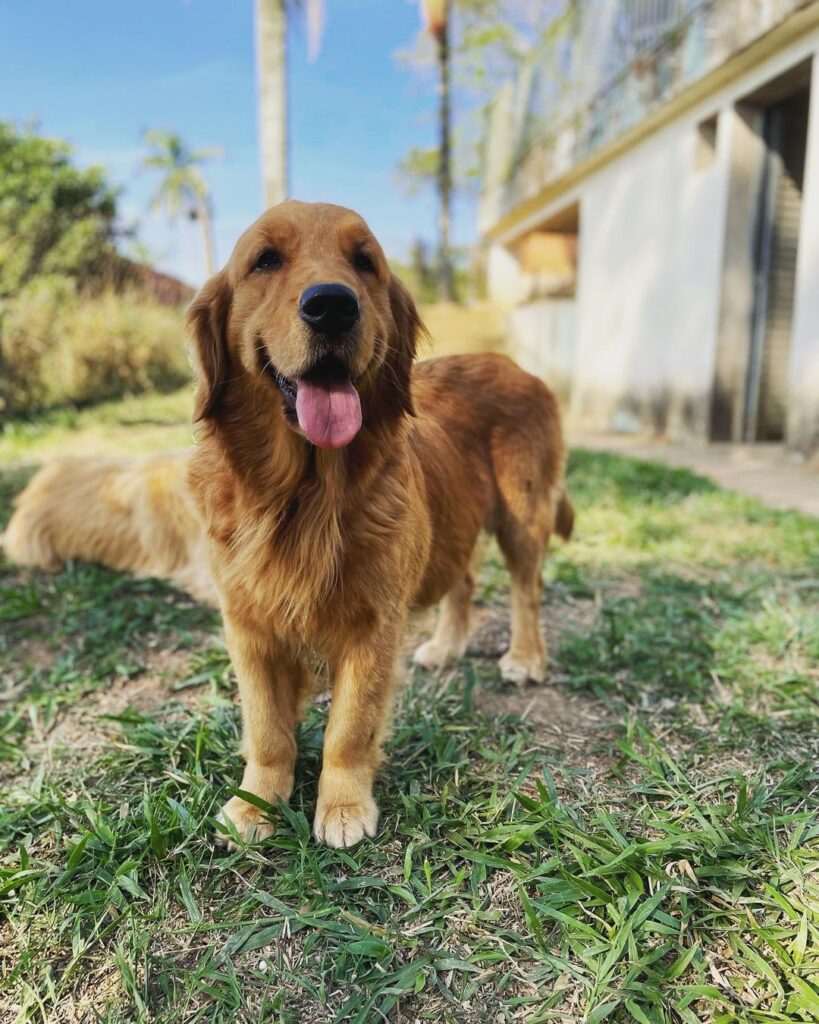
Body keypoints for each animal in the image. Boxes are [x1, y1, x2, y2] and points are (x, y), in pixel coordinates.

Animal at [186, 199, 573, 847]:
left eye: (363, 261)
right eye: (265, 260)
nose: (332, 305)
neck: (306, 494)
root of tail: (520, 368)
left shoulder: (374, 624)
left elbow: (349, 726)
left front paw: (342, 807)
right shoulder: (247, 623)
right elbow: (266, 728)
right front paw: (256, 803)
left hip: (521, 516)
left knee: (527, 590)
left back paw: (524, 657)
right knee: (465, 582)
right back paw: (445, 647)